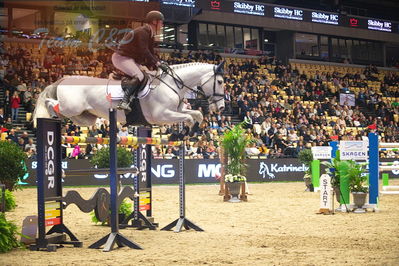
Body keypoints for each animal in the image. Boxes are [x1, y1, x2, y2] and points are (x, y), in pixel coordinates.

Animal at [32, 61, 227, 127]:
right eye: (220, 82)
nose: (222, 107)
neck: (172, 83)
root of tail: (63, 79)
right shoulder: (162, 115)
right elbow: (188, 117)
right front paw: (183, 132)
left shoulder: (175, 111)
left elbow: (196, 114)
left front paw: (193, 129)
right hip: (72, 107)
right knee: (50, 102)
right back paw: (50, 114)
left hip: (85, 117)